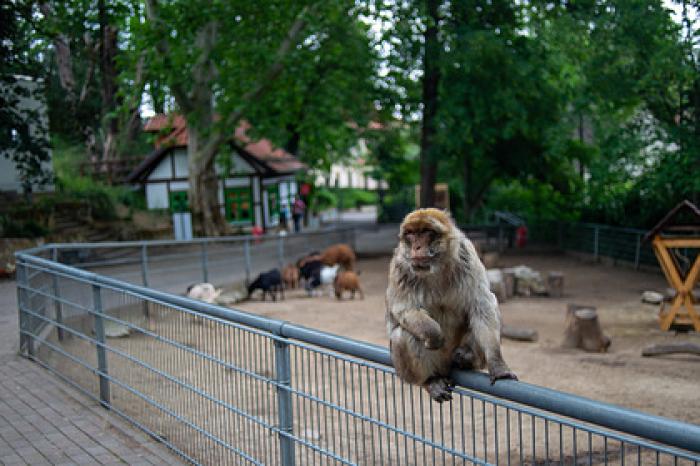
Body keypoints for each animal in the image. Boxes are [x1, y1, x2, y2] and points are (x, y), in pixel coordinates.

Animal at [386, 208, 516, 400]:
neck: (436, 268)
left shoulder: (466, 254)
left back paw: (466, 358)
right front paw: (433, 334)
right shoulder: (400, 266)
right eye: (410, 234)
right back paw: (430, 381)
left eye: (426, 232)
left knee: (489, 306)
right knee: (401, 335)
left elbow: (482, 305)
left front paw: (497, 364)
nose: (416, 247)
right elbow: (404, 309)